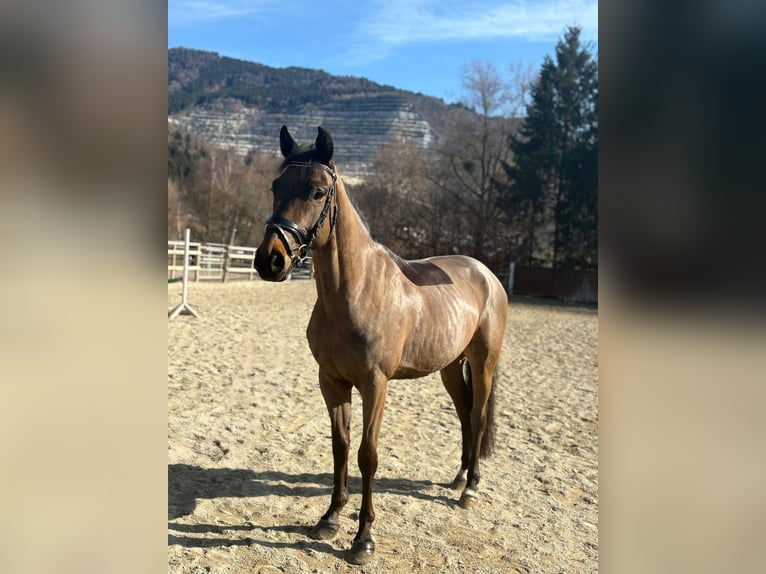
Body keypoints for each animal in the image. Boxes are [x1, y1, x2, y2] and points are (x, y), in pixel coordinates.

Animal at [254, 126, 508, 564]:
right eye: (276, 186)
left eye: (318, 192)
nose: (270, 260)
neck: (355, 289)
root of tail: (486, 274)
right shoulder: (331, 381)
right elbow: (340, 447)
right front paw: (330, 518)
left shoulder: (375, 385)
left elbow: (366, 455)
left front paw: (363, 539)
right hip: (449, 367)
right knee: (464, 414)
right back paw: (459, 477)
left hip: (483, 363)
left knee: (476, 417)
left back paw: (472, 488)